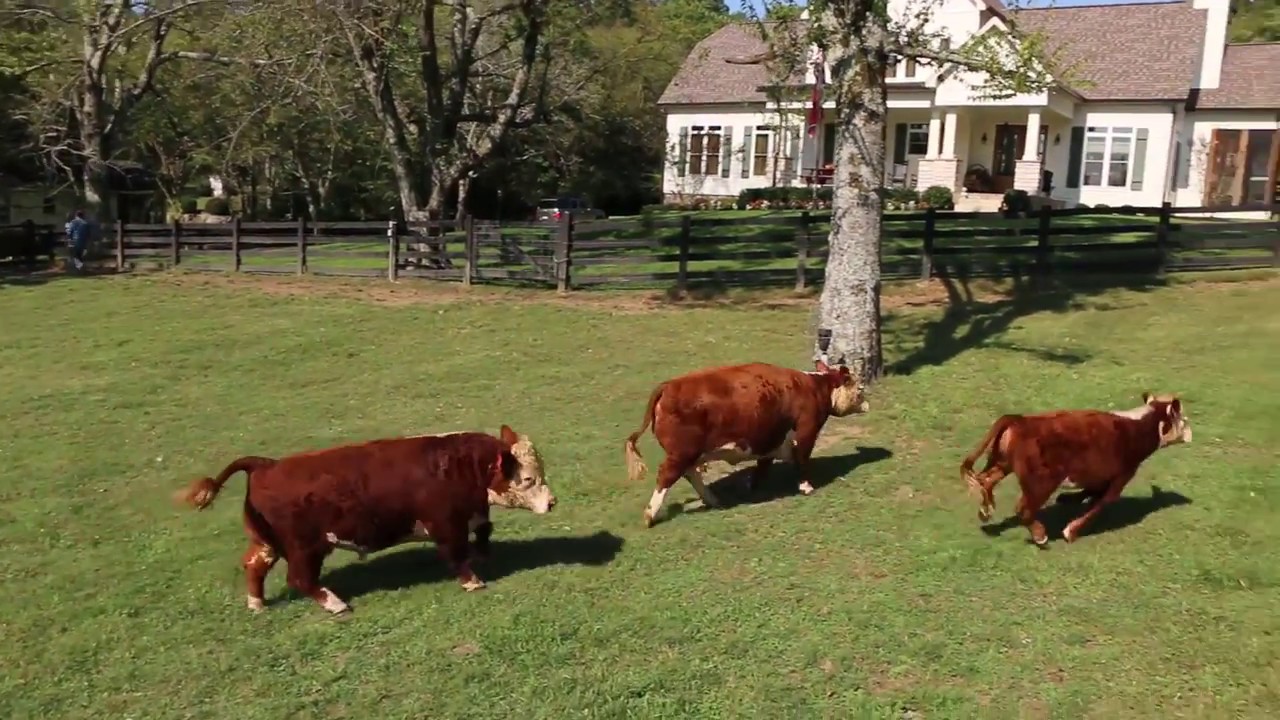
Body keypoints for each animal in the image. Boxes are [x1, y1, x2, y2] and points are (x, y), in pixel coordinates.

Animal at [175, 425, 555, 615]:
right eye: (527, 479)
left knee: (254, 565)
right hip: (306, 547)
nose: (552, 502)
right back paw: (335, 604)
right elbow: (457, 554)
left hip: (268, 541)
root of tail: (265, 464)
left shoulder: (473, 514)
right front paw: (473, 580)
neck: (458, 466)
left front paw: (485, 556)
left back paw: (256, 604)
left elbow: (485, 530)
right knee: (299, 578)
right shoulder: (446, 525)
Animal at [623, 360, 870, 528]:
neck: (814, 387)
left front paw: (753, 485)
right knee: (667, 476)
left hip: (689, 454)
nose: (867, 405)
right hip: (681, 453)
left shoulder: (770, 440)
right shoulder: (806, 433)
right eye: (859, 388)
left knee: (690, 473)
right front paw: (806, 487)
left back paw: (714, 500)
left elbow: (763, 465)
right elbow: (802, 461)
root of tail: (668, 386)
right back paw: (650, 515)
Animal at [961, 392, 1192, 547]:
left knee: (986, 481)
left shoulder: (1099, 478)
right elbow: (1098, 505)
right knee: (1022, 509)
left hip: (1003, 463)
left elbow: (1088, 494)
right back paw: (1040, 535)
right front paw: (1070, 531)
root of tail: (1019, 420)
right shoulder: (1120, 479)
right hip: (1040, 483)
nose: (1191, 432)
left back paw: (985, 512)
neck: (1140, 426)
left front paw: (1067, 499)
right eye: (1183, 418)